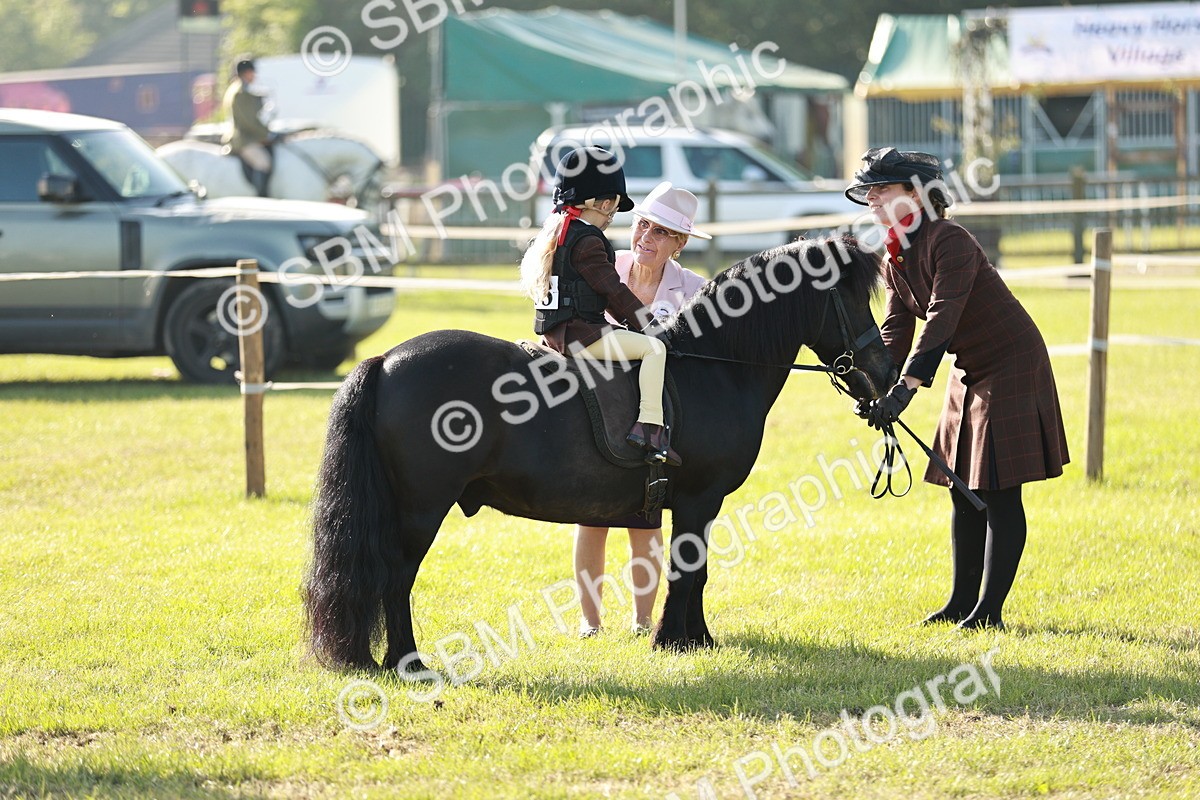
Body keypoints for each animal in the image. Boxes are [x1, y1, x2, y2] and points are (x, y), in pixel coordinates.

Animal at [303, 236, 897, 671]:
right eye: (849, 298)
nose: (885, 372)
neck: (715, 367)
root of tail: (385, 360)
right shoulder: (699, 500)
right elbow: (687, 570)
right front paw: (672, 641)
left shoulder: (700, 505)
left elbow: (698, 571)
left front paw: (698, 639)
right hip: (422, 508)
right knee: (396, 577)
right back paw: (408, 662)